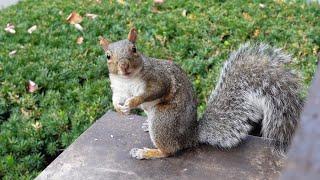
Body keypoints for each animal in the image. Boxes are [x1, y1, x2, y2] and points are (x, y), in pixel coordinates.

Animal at [100, 27, 302, 159]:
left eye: (134, 49)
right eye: (108, 56)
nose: (123, 66)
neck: (128, 80)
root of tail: (191, 136)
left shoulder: (158, 78)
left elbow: (153, 92)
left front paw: (133, 102)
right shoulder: (118, 88)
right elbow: (116, 98)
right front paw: (119, 108)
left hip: (163, 118)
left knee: (169, 151)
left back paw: (147, 152)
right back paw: (146, 127)